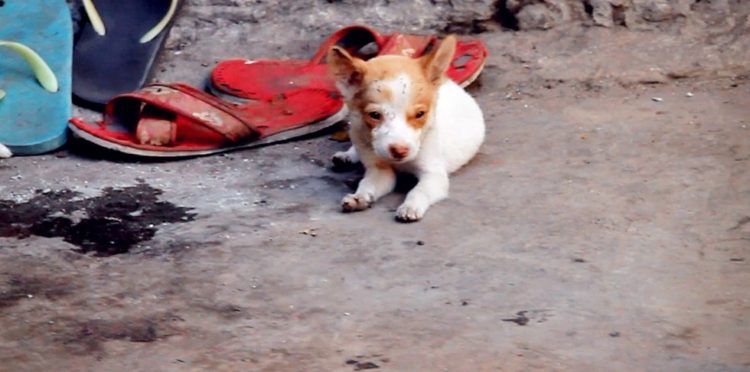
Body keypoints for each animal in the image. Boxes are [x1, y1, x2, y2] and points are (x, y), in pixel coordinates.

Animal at [328, 35, 488, 221]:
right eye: (375, 115)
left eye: (420, 114)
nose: (400, 151)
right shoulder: (380, 171)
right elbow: (367, 184)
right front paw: (359, 197)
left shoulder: (433, 175)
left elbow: (419, 191)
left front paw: (411, 206)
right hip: (356, 131)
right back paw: (346, 156)